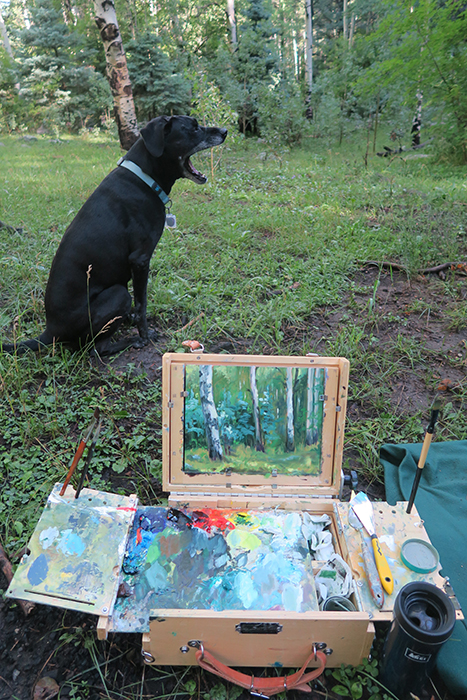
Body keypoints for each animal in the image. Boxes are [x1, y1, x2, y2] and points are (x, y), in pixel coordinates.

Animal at [1, 117, 229, 356]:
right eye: (193, 127)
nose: (225, 131)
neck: (143, 177)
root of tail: (51, 331)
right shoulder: (140, 259)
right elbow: (142, 304)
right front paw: (145, 335)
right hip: (119, 293)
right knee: (95, 348)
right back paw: (131, 340)